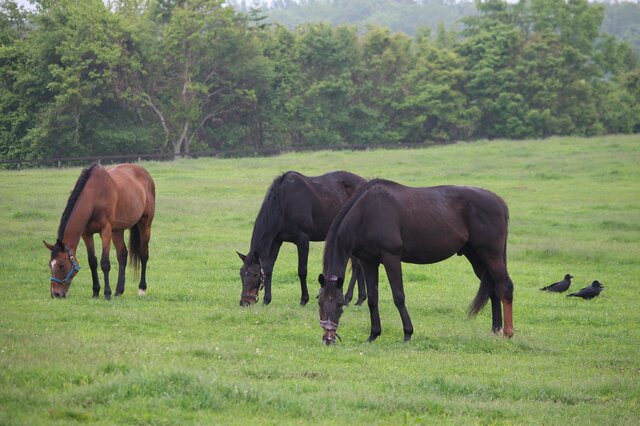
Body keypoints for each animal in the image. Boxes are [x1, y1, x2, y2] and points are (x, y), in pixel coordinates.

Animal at [44, 163, 155, 299]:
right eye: (50, 264)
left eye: (61, 265)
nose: (56, 294)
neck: (95, 196)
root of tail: (144, 173)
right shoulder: (87, 234)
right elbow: (92, 261)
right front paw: (96, 292)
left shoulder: (105, 231)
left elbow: (105, 263)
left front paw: (107, 293)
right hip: (117, 231)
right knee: (122, 255)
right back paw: (118, 291)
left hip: (145, 225)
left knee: (143, 254)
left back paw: (141, 289)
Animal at [237, 170, 367, 307]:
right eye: (241, 273)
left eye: (255, 274)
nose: (244, 302)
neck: (283, 202)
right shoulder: (277, 240)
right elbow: (268, 269)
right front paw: (266, 299)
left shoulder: (302, 240)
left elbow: (302, 270)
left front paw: (304, 299)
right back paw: (360, 299)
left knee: (356, 266)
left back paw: (347, 298)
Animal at [318, 179, 514, 344]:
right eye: (320, 302)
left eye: (339, 304)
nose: (328, 339)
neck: (366, 213)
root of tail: (499, 202)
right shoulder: (368, 262)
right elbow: (373, 299)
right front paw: (373, 335)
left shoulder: (391, 258)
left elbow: (398, 296)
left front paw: (407, 333)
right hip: (476, 256)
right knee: (493, 288)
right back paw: (495, 330)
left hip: (491, 254)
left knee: (505, 287)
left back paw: (508, 333)